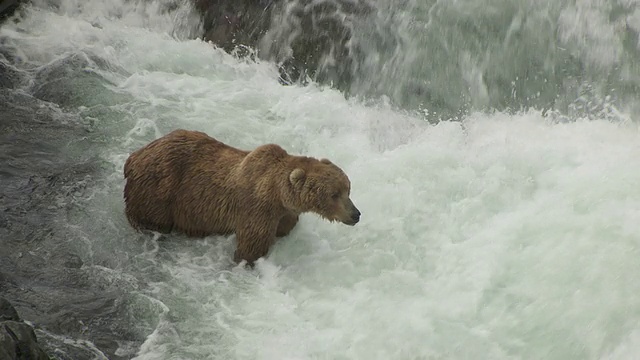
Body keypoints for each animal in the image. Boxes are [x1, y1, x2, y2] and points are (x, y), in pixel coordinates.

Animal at [124, 129, 360, 264]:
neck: (279, 196)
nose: (356, 214)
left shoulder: (284, 214)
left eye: (348, 189)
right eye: (334, 194)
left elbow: (285, 227)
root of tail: (134, 156)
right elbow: (251, 246)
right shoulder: (257, 209)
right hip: (158, 190)